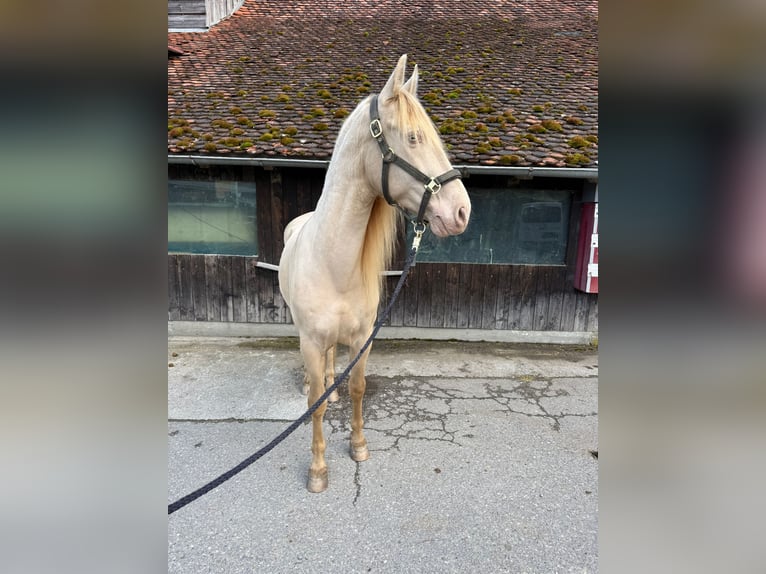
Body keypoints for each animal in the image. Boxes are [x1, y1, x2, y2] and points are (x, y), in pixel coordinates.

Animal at [278, 54, 471, 492]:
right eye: (414, 138)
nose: (461, 212)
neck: (333, 263)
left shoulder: (362, 338)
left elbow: (357, 389)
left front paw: (358, 446)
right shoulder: (311, 340)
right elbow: (315, 406)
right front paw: (318, 469)